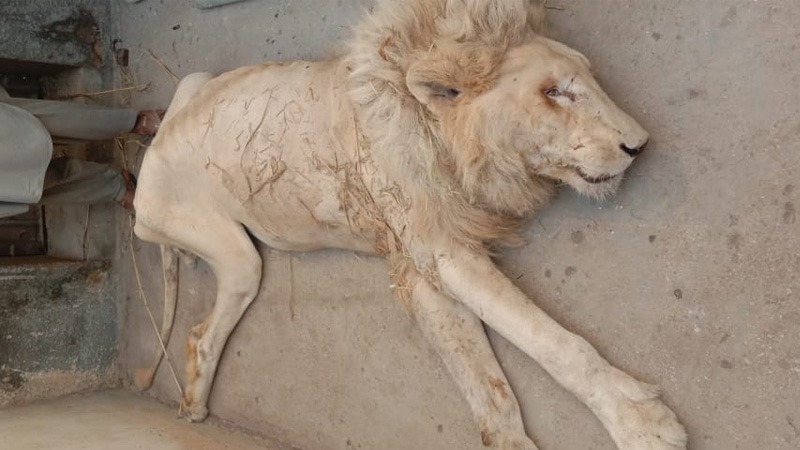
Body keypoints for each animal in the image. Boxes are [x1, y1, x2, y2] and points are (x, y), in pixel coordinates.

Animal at [131, 1, 687, 449]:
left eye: (589, 78)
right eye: (554, 92)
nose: (639, 145)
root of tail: (150, 153)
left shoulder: (423, 265)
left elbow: (482, 378)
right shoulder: (441, 251)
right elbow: (550, 340)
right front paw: (641, 423)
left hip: (196, 78)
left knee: (197, 333)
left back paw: (191, 400)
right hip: (235, 253)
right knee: (200, 331)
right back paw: (193, 407)